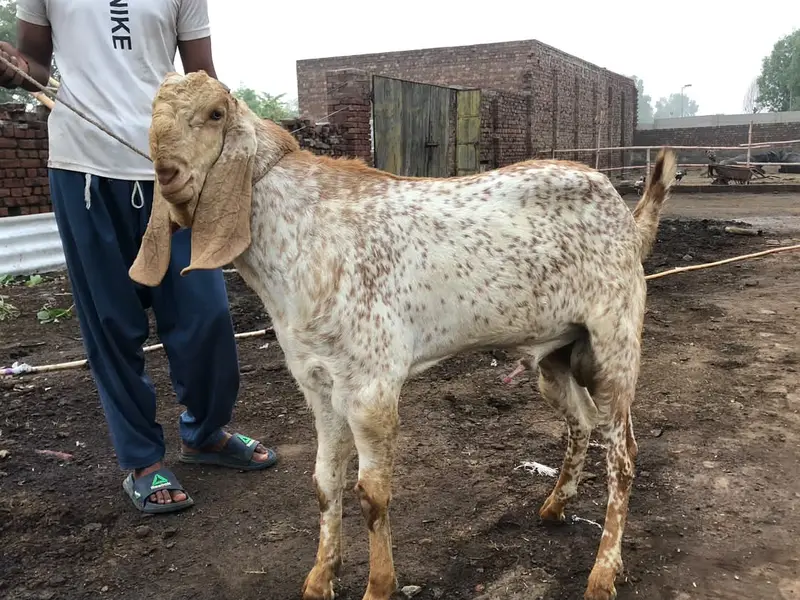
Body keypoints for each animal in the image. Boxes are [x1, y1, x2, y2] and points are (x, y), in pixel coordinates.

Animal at [130, 70, 678, 600]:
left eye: (214, 114)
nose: (167, 174)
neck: (302, 232)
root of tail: (628, 221)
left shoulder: (371, 386)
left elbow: (371, 493)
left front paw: (379, 586)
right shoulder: (317, 381)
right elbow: (325, 481)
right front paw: (319, 579)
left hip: (614, 342)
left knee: (624, 455)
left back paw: (603, 574)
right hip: (558, 353)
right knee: (582, 422)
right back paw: (555, 506)